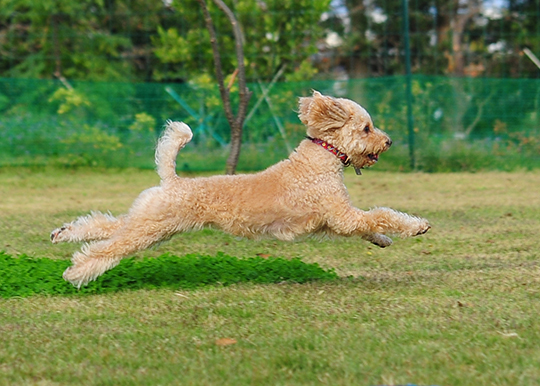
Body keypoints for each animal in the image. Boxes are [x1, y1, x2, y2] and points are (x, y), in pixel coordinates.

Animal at [50, 92, 430, 288]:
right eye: (366, 128)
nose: (388, 141)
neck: (320, 161)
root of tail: (172, 180)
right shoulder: (341, 216)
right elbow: (380, 215)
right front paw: (417, 226)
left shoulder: (335, 222)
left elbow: (370, 225)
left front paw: (383, 241)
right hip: (149, 229)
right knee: (105, 249)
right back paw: (75, 272)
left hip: (147, 220)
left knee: (103, 225)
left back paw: (63, 232)